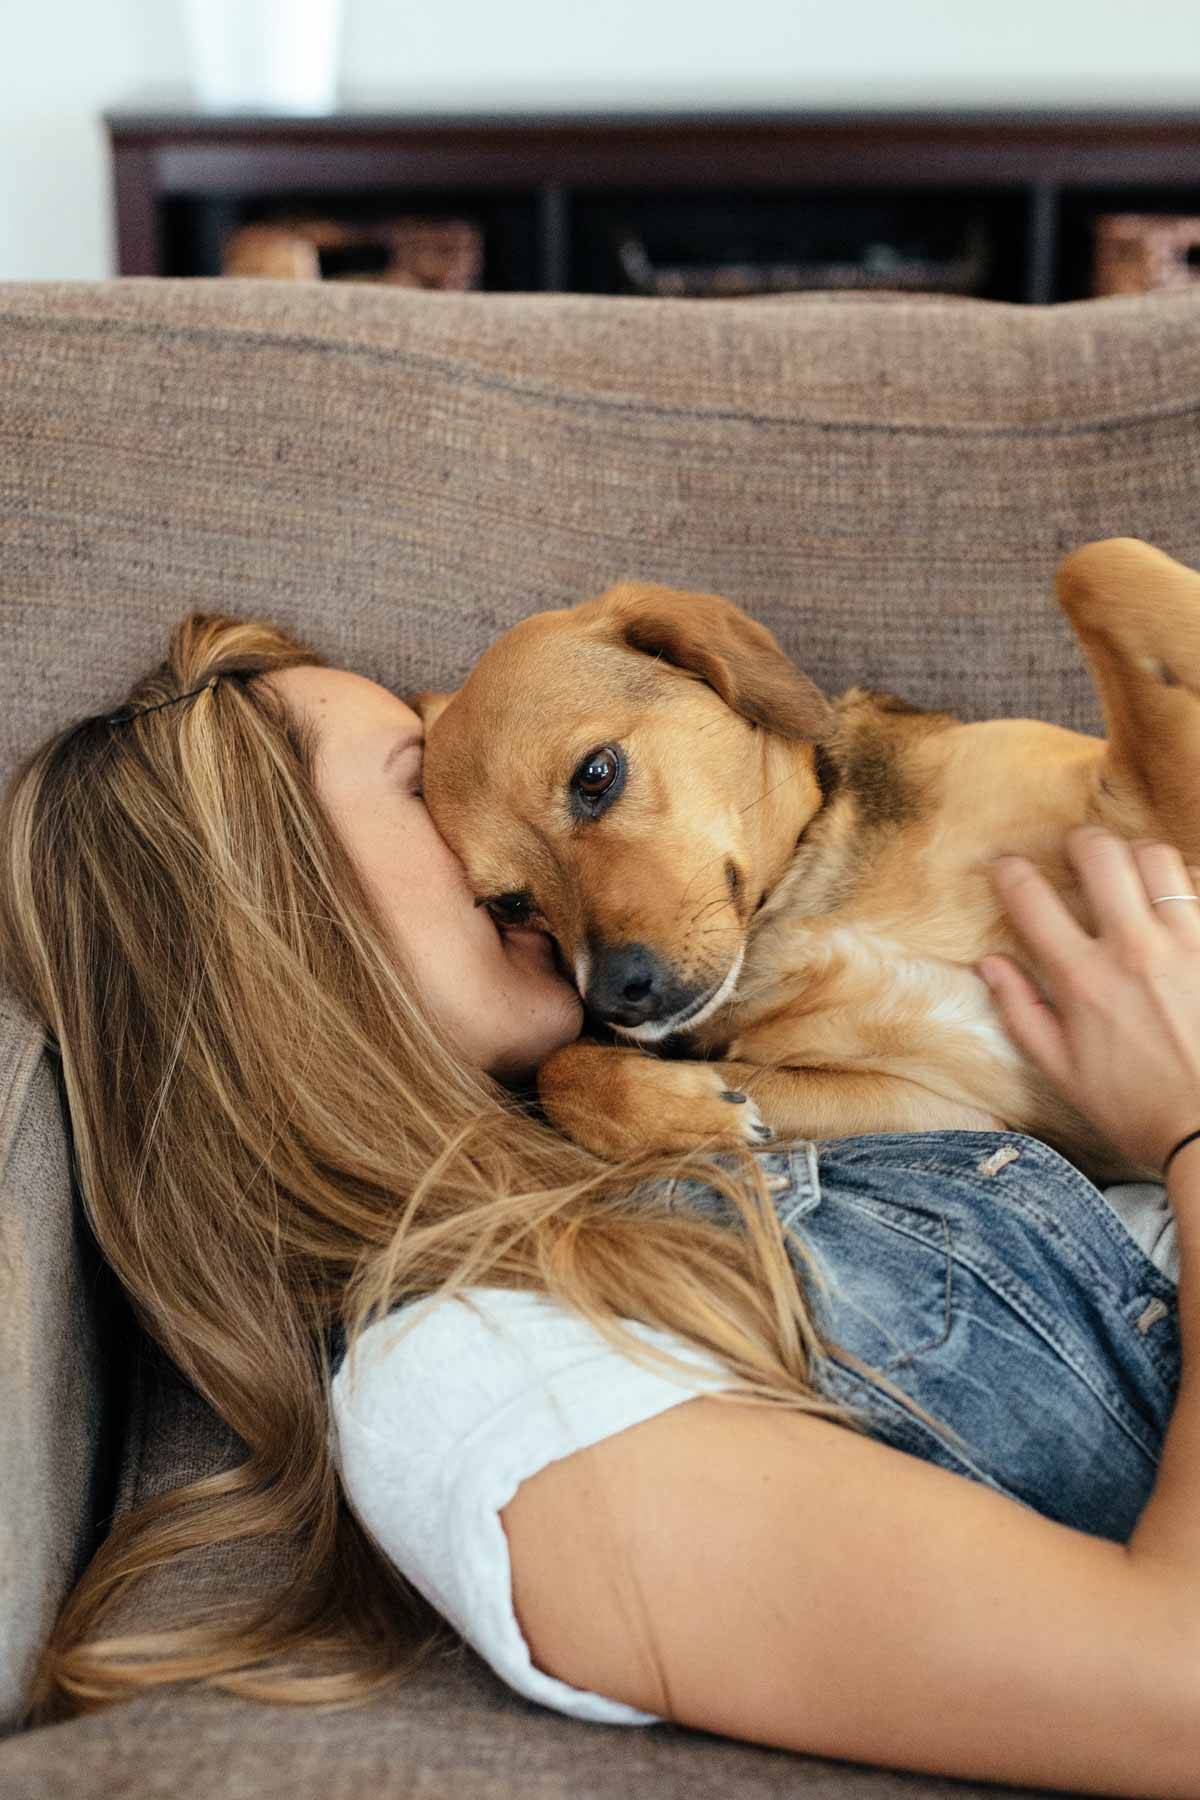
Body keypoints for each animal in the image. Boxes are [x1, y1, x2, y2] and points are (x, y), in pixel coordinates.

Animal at [415, 532, 1200, 1180]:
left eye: (596, 774)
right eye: (510, 905)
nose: (612, 999)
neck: (805, 899)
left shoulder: (1149, 818)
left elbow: (1094, 564)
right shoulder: (954, 1113)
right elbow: (555, 1070)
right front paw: (677, 1110)